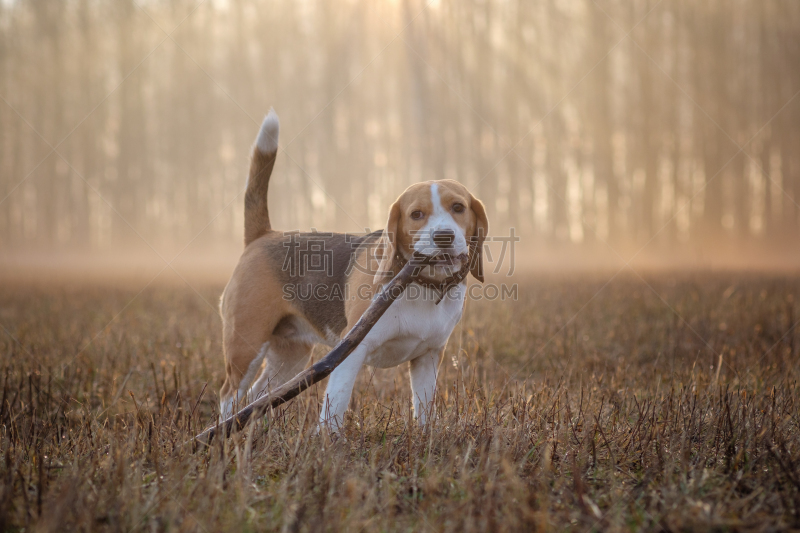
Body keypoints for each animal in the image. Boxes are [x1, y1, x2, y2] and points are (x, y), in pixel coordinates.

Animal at [219, 111, 490, 428]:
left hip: (290, 357)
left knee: (257, 398)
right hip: (245, 347)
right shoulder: (349, 353)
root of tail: (263, 235)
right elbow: (334, 409)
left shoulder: (429, 356)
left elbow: (424, 410)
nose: (444, 237)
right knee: (229, 396)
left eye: (458, 207)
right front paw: (328, 441)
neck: (421, 285)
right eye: (416, 215)